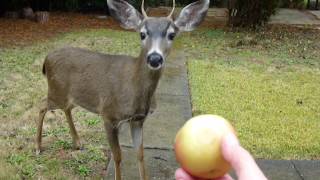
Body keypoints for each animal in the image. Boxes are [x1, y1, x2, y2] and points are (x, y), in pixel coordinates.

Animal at [35, 0, 210, 179]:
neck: (134, 91)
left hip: (68, 95)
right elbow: (118, 156)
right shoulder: (108, 115)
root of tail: (46, 58)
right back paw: (38, 147)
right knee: (42, 105)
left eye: (172, 35)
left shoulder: (138, 119)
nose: (155, 58)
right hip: (56, 90)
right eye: (142, 34)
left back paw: (77, 143)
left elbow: (140, 154)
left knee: (66, 108)